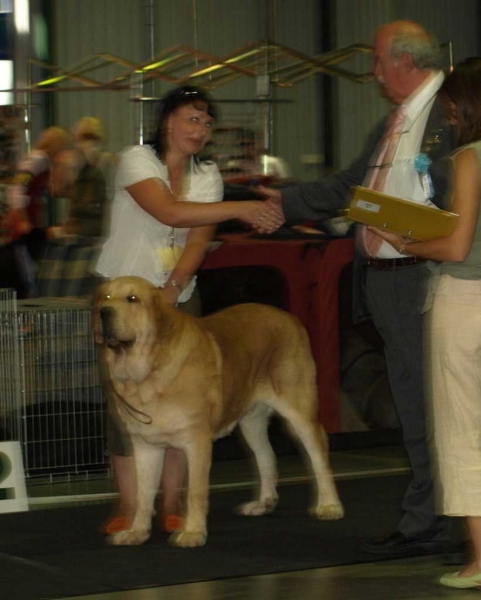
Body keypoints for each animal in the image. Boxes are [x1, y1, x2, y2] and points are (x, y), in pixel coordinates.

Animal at [94, 276, 342, 548]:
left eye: (132, 299)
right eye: (106, 298)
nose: (103, 312)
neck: (148, 373)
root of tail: (290, 318)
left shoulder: (197, 441)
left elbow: (195, 492)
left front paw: (192, 533)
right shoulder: (145, 445)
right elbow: (143, 492)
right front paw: (137, 532)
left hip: (299, 410)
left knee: (319, 455)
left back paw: (330, 506)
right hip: (250, 422)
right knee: (267, 456)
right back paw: (263, 503)